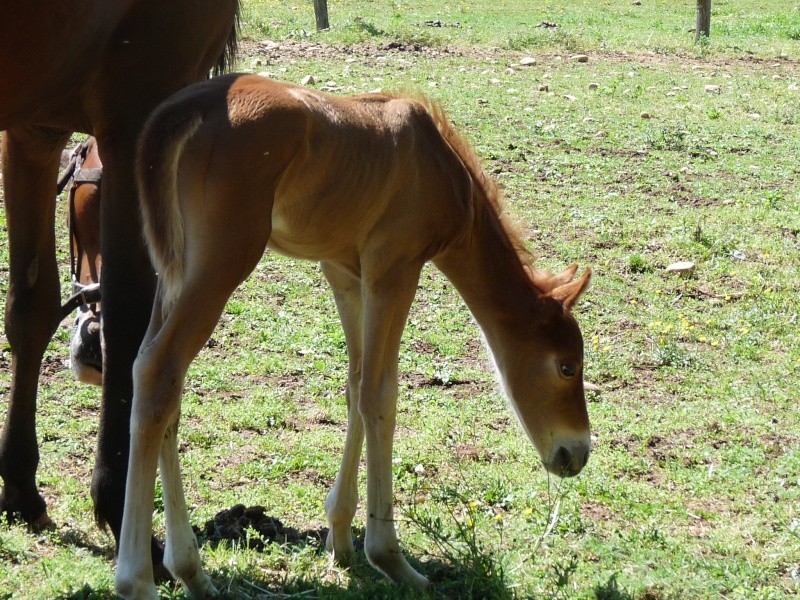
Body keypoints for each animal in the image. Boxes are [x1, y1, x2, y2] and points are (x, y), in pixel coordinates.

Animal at [0, 0, 239, 568]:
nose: (91, 350)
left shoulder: (33, 129)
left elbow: (30, 307)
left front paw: (20, 485)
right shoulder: (139, 116)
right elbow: (133, 322)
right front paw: (119, 510)